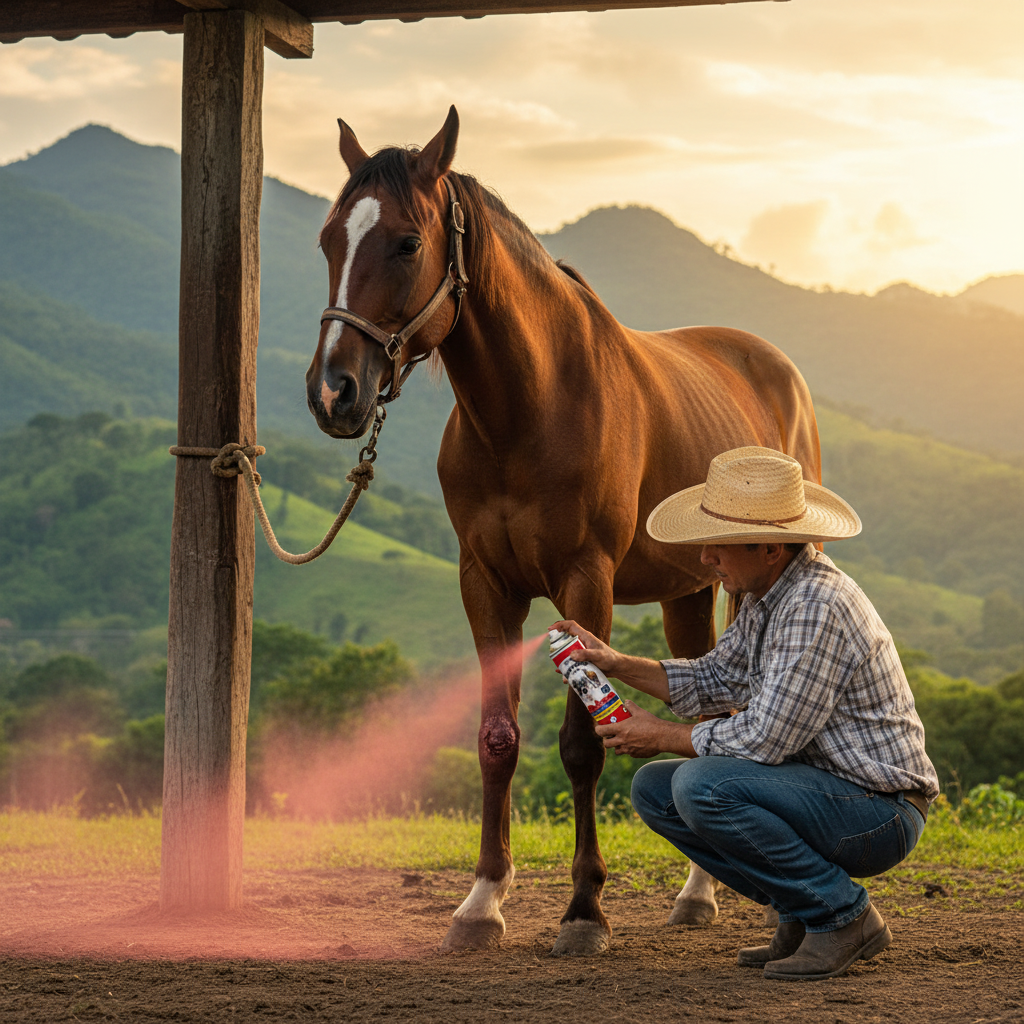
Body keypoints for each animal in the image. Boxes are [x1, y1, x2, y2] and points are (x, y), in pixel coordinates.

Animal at [305, 106, 822, 956]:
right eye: (329, 241)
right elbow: (498, 740)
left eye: (407, 242)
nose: (333, 392)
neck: (530, 407)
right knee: (709, 714)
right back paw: (696, 894)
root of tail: (773, 366)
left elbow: (582, 747)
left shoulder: (587, 581)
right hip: (689, 593)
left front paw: (584, 910)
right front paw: (482, 902)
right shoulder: (486, 585)